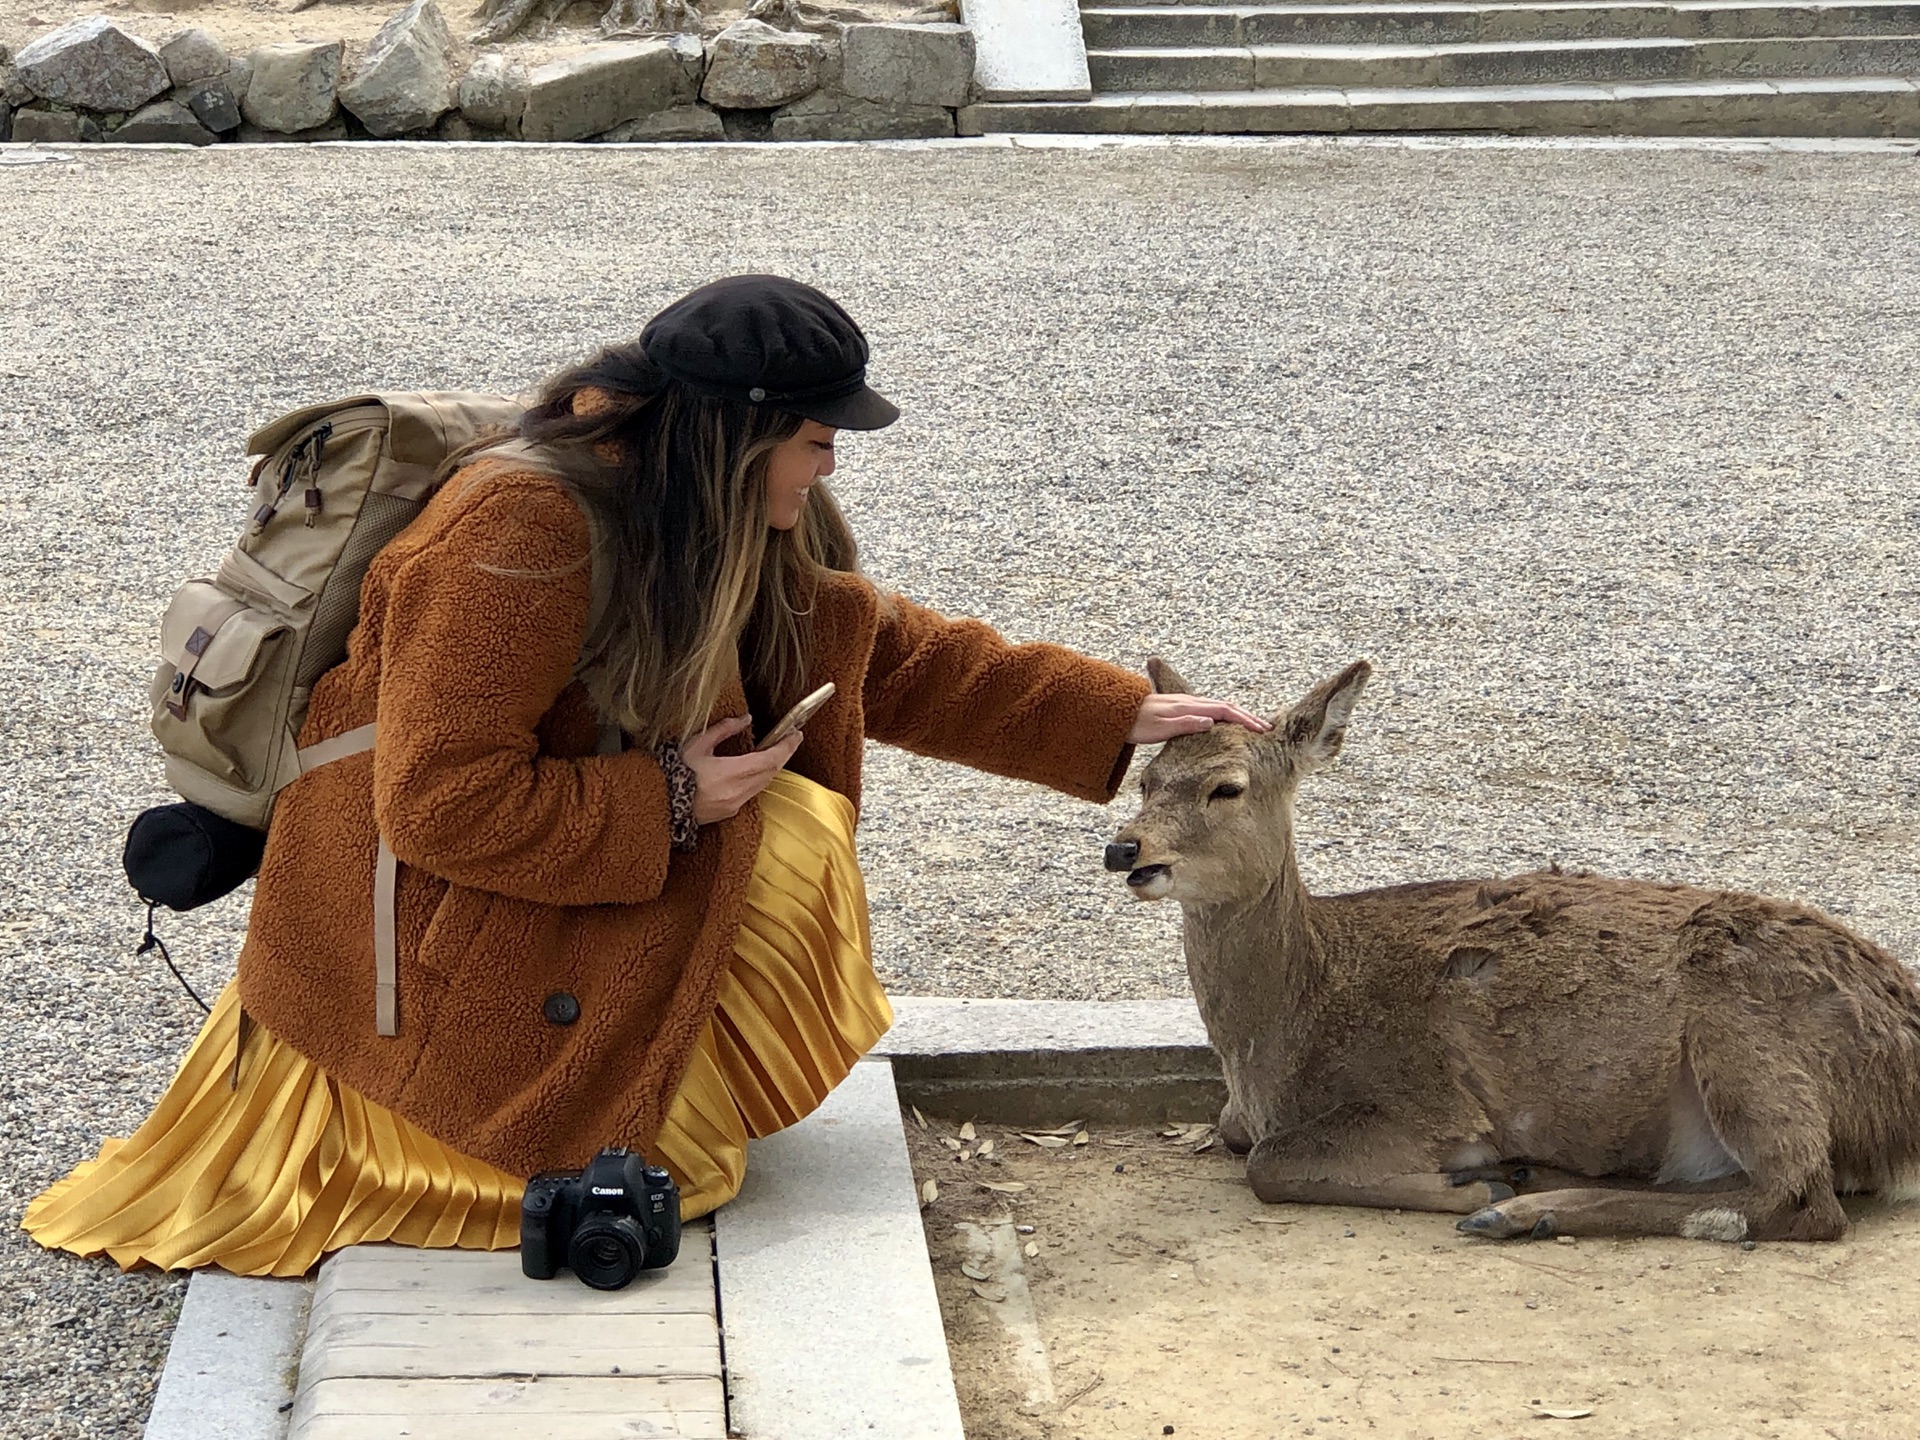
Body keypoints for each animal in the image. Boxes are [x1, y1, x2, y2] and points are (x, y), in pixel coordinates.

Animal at [1113, 660, 1920, 1244]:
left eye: (1227, 788)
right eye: (1145, 777)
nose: (1125, 849)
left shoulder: (1425, 1099)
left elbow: (1270, 1165)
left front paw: (1475, 1181)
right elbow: (1234, 1137)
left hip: (1746, 1038)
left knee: (1803, 1201)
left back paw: (1516, 1208)